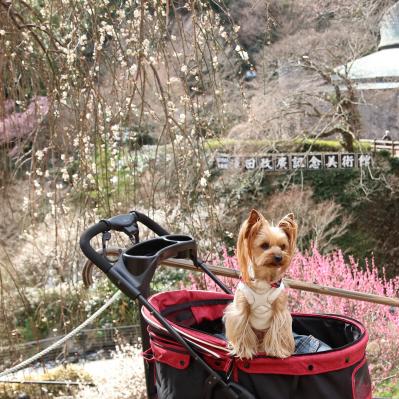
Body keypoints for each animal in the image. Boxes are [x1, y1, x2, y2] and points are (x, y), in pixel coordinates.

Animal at [223, 211, 298, 360]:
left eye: (283, 247)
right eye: (264, 245)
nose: (279, 257)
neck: (263, 280)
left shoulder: (279, 311)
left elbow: (278, 330)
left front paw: (278, 352)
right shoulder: (241, 310)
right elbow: (242, 329)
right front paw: (243, 351)